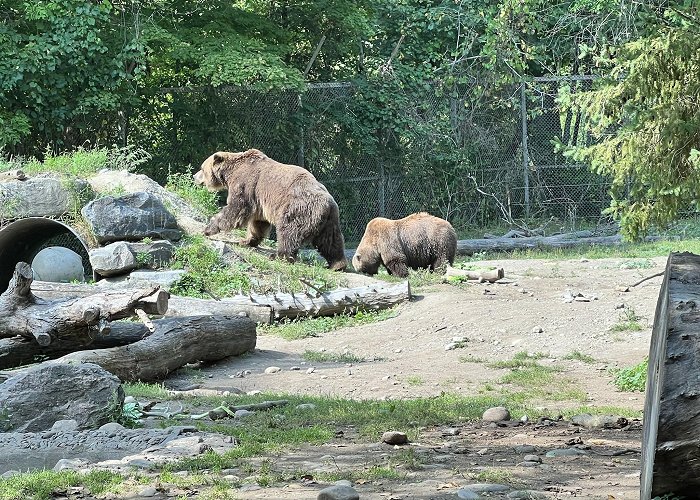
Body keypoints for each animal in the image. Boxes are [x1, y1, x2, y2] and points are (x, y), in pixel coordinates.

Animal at [194, 149, 348, 270]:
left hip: (299, 209)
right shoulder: (259, 201)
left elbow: (236, 209)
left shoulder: (245, 183)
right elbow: (258, 223)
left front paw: (208, 229)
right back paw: (337, 264)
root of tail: (328, 204)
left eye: (201, 168)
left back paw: (278, 255)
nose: (194, 176)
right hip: (330, 220)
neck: (230, 172)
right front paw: (247, 241)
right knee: (330, 241)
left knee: (289, 233)